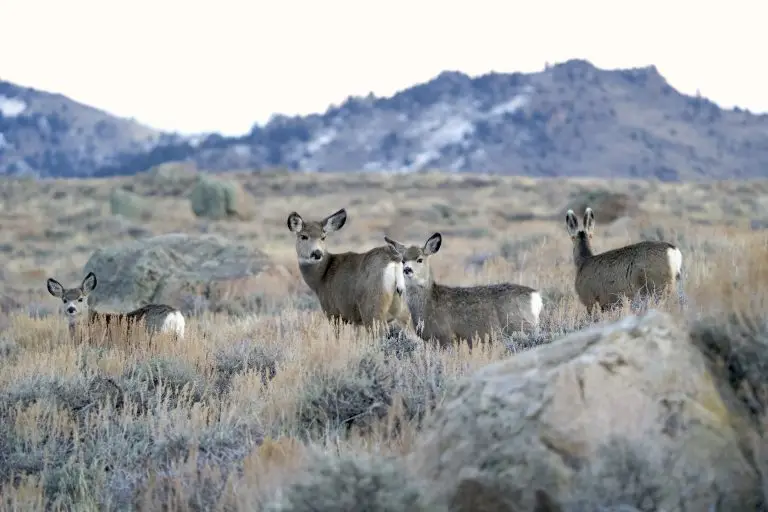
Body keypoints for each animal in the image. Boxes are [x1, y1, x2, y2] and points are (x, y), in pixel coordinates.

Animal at [384, 232, 543, 349]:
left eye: (420, 259)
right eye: (403, 260)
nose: (407, 269)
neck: (429, 303)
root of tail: (536, 297)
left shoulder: (445, 336)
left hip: (521, 326)